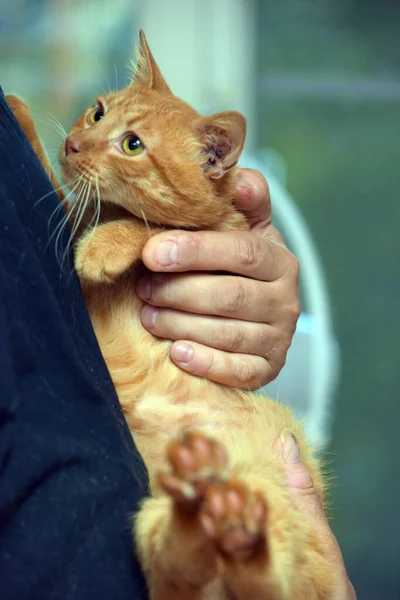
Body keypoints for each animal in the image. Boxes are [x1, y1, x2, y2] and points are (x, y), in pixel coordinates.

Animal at [7, 34, 334, 600]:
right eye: (97, 113)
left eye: (132, 145)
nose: (74, 145)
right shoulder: (71, 225)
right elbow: (54, 182)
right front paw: (17, 105)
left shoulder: (204, 238)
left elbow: (158, 229)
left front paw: (108, 245)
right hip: (154, 519)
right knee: (180, 569)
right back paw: (202, 508)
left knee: (268, 581)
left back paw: (230, 521)